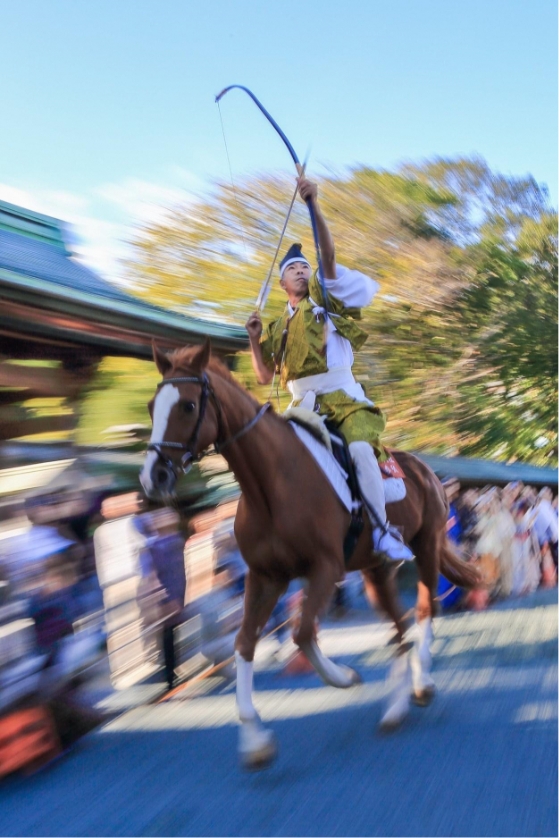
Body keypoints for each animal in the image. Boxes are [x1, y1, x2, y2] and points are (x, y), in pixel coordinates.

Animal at [141, 340, 482, 768]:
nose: (153, 476)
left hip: (427, 546)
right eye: (152, 406)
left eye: (187, 406)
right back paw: (395, 707)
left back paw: (421, 684)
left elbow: (302, 634)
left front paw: (344, 677)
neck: (270, 485)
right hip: (375, 570)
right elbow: (244, 643)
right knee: (399, 627)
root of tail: (426, 469)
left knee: (423, 611)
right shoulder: (265, 576)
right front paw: (255, 740)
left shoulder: (325, 567)